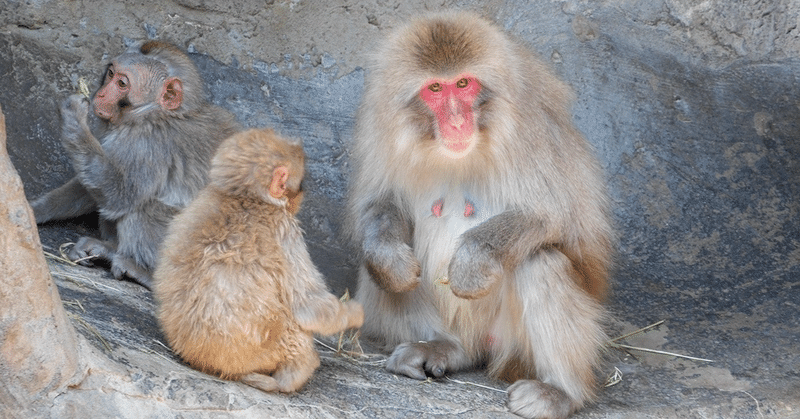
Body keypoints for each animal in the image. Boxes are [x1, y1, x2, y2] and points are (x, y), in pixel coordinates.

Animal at [31, 41, 238, 288]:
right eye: (111, 74)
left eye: (122, 84)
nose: (100, 94)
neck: (152, 113)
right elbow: (89, 190)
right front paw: (32, 210)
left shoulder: (149, 144)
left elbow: (120, 194)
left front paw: (73, 115)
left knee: (144, 207)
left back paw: (144, 272)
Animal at [154, 129, 366, 394]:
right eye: (300, 183)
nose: (302, 195)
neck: (246, 198)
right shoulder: (285, 230)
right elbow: (307, 306)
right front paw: (354, 313)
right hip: (269, 350)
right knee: (294, 322)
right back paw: (294, 375)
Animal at [346, 11, 616, 418]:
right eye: (435, 89)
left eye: (463, 83)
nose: (457, 122)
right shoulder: (382, 129)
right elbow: (380, 203)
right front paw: (391, 260)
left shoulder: (534, 132)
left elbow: (555, 216)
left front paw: (472, 264)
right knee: (378, 268)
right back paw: (442, 346)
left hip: (515, 347)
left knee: (540, 261)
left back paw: (561, 391)